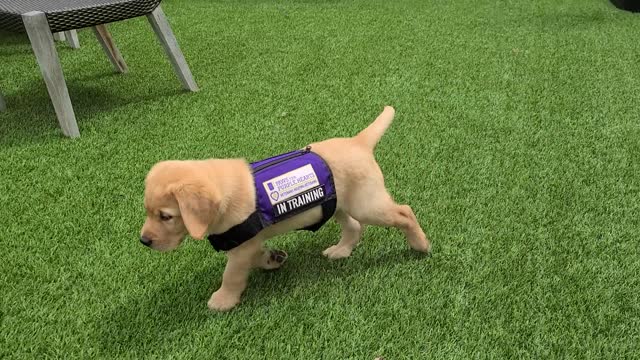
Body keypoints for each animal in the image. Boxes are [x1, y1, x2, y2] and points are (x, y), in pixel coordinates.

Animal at [140, 106, 430, 310]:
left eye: (166, 216)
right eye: (148, 212)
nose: (144, 241)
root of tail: (358, 142)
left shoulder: (241, 248)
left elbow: (231, 274)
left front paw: (223, 300)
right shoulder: (248, 243)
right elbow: (256, 256)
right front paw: (272, 258)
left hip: (366, 204)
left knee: (404, 211)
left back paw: (420, 244)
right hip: (337, 204)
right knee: (354, 226)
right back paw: (341, 250)